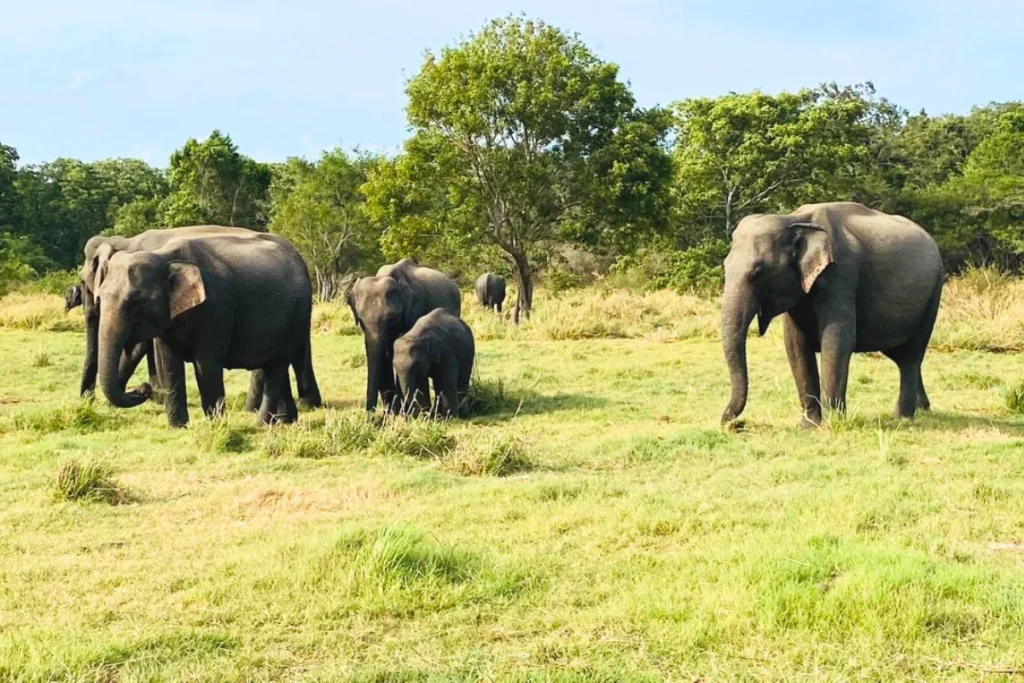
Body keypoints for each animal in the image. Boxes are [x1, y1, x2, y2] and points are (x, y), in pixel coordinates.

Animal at [74, 227, 322, 415]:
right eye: (99, 296)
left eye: (136, 303)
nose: (141, 389)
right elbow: (158, 356)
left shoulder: (215, 307)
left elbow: (148, 351)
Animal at [347, 258, 461, 412]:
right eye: (360, 320)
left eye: (391, 318)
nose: (369, 415)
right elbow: (384, 356)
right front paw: (392, 413)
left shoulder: (413, 312)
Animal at [720, 202, 943, 427]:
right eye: (725, 266)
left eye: (757, 272)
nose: (731, 424)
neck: (793, 219)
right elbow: (795, 345)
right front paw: (808, 426)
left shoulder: (841, 273)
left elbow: (836, 339)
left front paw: (831, 424)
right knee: (901, 356)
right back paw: (923, 409)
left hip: (933, 293)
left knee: (910, 356)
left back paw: (903, 417)